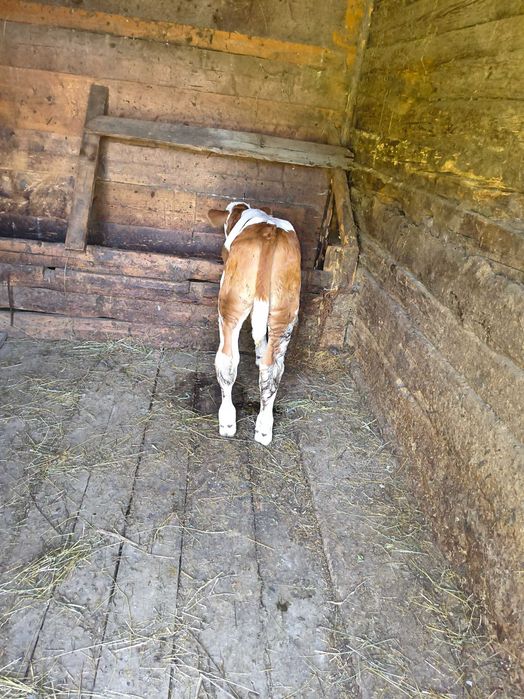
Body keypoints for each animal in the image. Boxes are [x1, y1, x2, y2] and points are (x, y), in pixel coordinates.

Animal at [207, 201, 301, 445]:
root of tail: (270, 233)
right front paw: (259, 354)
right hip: (285, 309)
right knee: (273, 368)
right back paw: (264, 428)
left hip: (230, 301)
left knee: (227, 360)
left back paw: (227, 422)